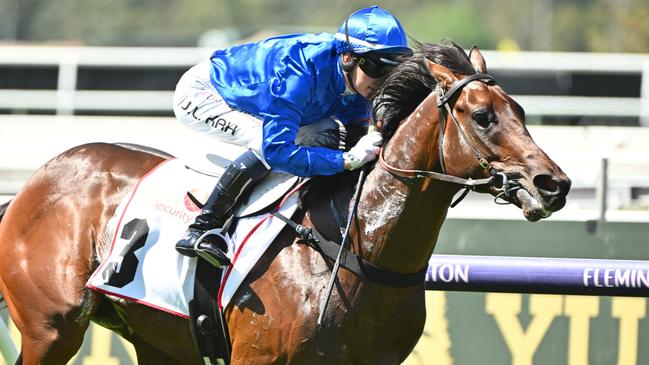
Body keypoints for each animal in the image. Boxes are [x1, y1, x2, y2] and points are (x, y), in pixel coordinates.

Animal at [0, 41, 568, 362]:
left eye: (520, 111)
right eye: (483, 117)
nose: (553, 184)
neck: (355, 244)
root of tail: (35, 182)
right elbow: (273, 143)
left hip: (158, 338)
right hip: (51, 330)